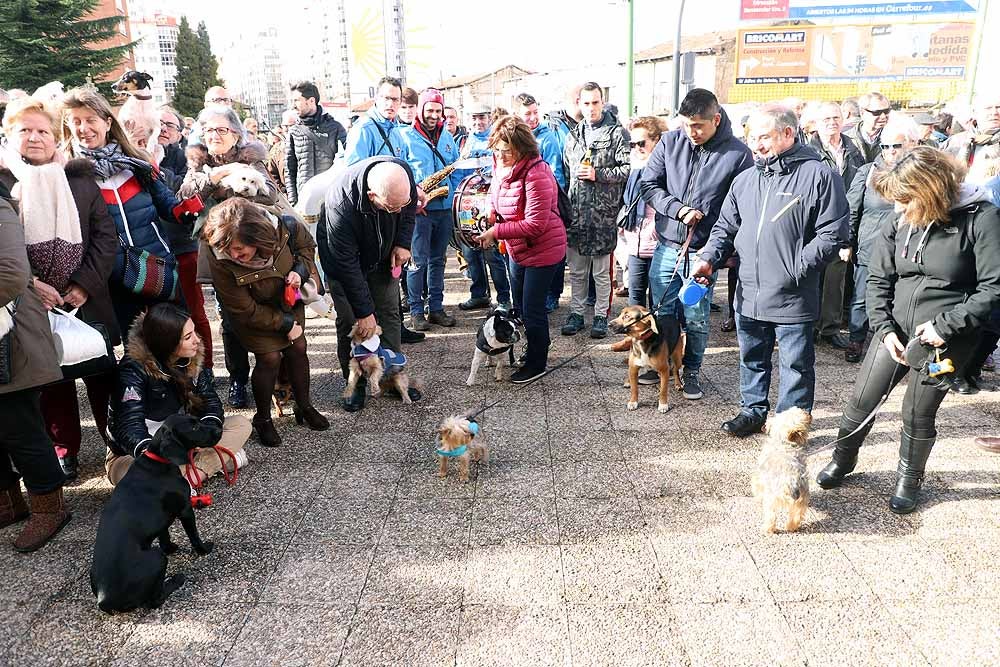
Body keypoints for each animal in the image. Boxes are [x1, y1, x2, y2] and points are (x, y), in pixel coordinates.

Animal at [89, 414, 219, 612]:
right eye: (194, 427)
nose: (219, 430)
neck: (159, 461)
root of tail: (104, 600)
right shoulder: (185, 509)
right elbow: (194, 536)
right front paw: (204, 549)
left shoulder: (161, 518)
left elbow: (164, 534)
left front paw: (171, 547)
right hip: (157, 558)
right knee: (155, 601)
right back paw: (175, 580)